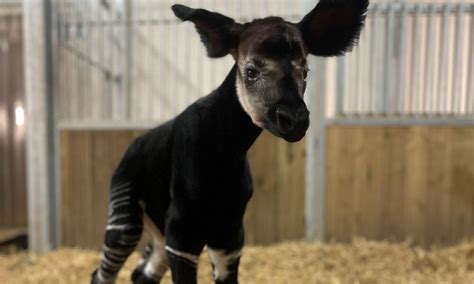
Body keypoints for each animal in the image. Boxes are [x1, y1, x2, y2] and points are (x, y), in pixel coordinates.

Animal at [90, 1, 368, 282]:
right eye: (251, 72)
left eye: (306, 71)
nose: (295, 120)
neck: (224, 150)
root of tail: (132, 146)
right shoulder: (183, 230)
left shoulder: (229, 233)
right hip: (126, 217)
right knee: (103, 272)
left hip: (159, 229)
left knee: (143, 273)